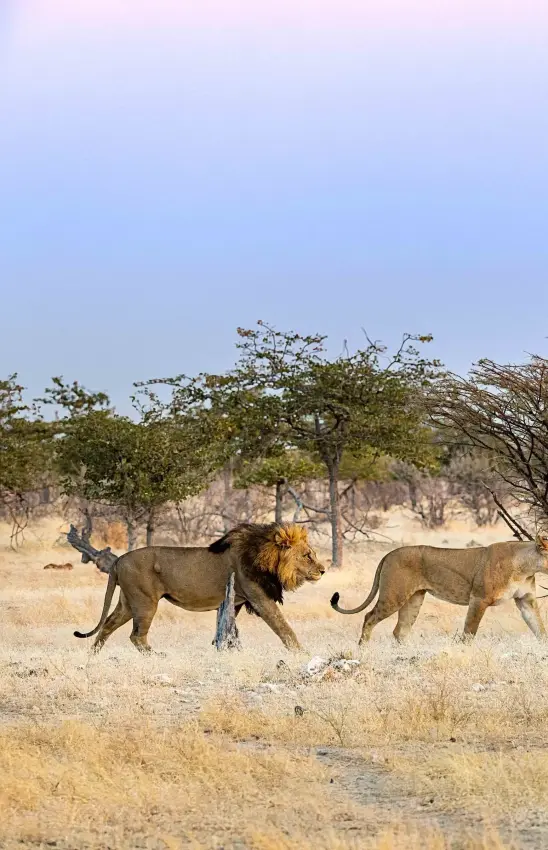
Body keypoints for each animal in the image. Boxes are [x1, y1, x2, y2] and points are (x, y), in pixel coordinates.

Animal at [74, 522, 325, 653]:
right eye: (307, 555)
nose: (323, 570)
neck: (266, 556)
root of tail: (118, 560)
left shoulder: (234, 601)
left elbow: (226, 629)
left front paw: (220, 648)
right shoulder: (260, 599)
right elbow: (284, 628)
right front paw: (302, 653)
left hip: (128, 603)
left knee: (108, 625)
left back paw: (93, 655)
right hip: (145, 602)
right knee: (136, 636)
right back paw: (156, 656)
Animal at [331, 536, 548, 644]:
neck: (525, 567)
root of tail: (389, 553)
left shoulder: (526, 600)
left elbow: (539, 628)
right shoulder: (479, 599)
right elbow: (469, 632)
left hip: (414, 599)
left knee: (400, 630)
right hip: (394, 596)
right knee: (369, 617)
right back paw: (363, 650)